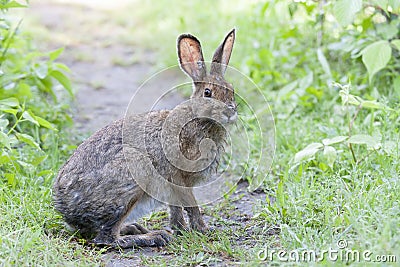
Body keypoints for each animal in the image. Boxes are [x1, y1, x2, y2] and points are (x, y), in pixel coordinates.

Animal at [51, 29, 236, 249]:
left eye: (232, 90)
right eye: (208, 93)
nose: (231, 112)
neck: (198, 119)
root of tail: (64, 204)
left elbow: (176, 208)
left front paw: (181, 229)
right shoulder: (179, 177)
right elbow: (191, 205)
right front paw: (202, 230)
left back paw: (136, 228)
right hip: (132, 175)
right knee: (106, 238)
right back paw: (152, 236)